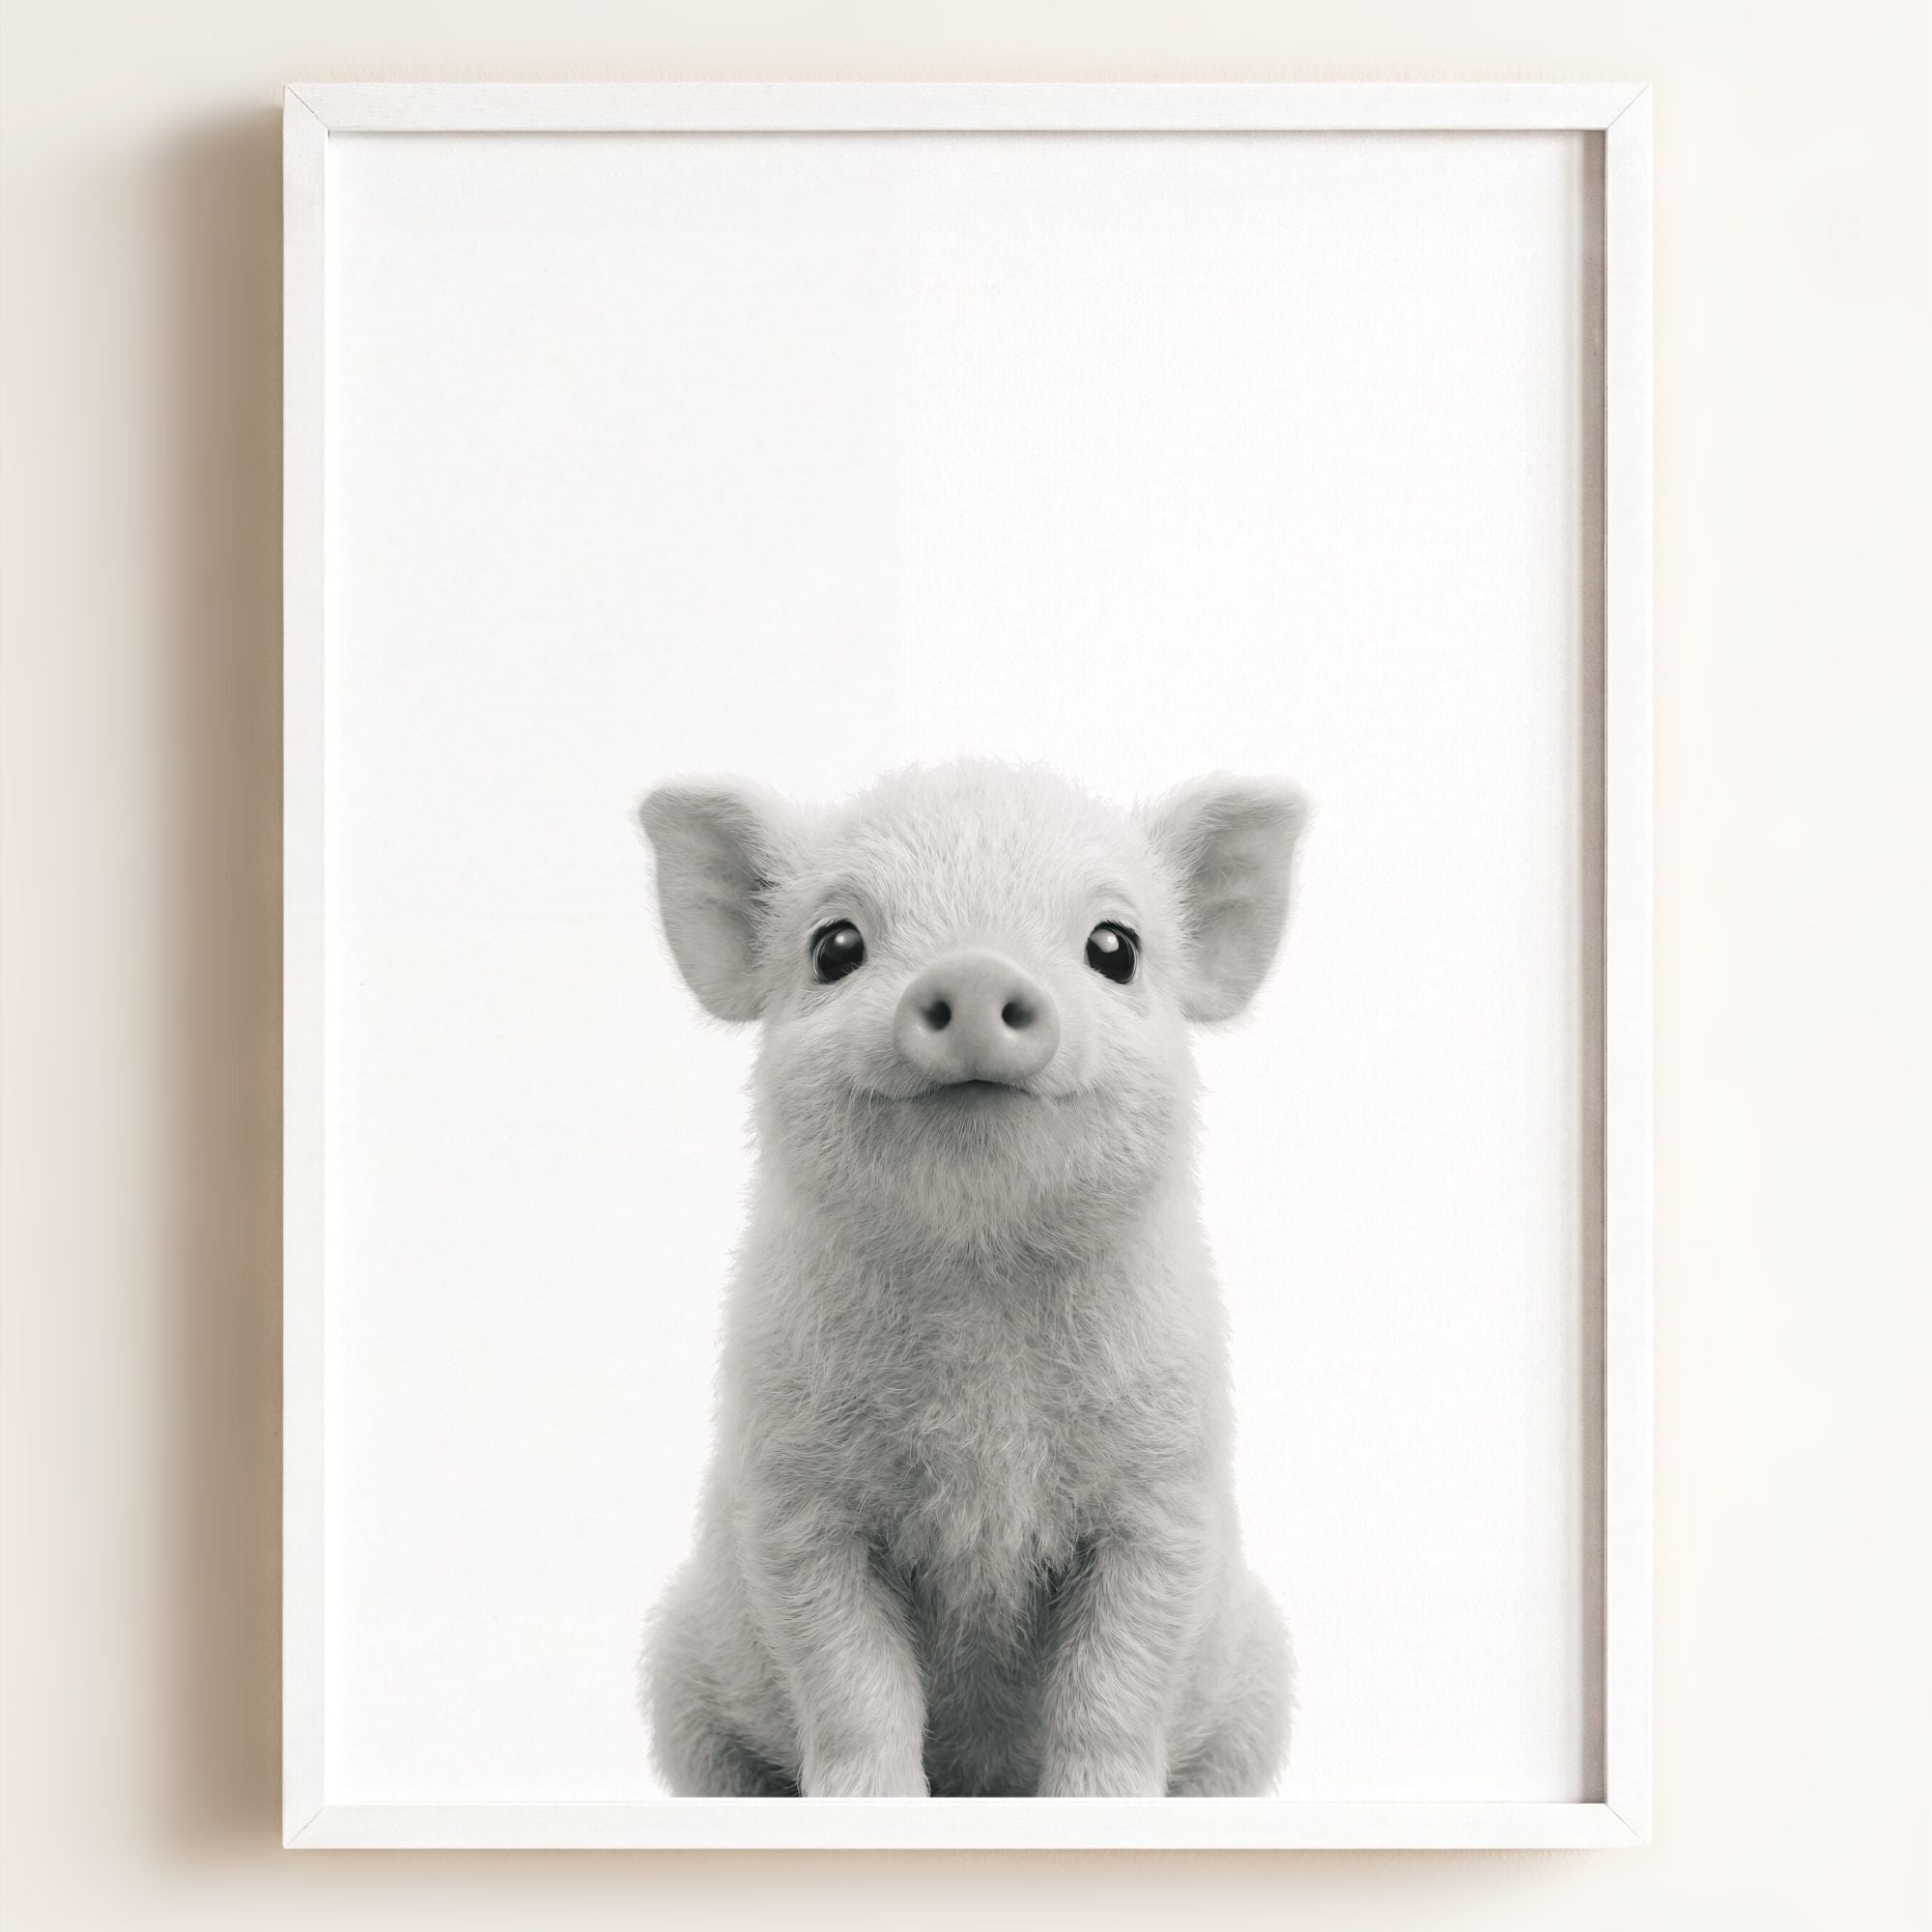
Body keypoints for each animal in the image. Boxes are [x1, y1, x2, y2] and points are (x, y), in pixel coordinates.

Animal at [636, 758, 1307, 1798]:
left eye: (1114, 947)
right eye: (834, 946)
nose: (976, 967)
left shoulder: (1165, 1492)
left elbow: (1116, 1682)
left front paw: (1102, 1802)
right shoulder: (793, 1499)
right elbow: (850, 1680)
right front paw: (867, 1801)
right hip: (678, 1678)